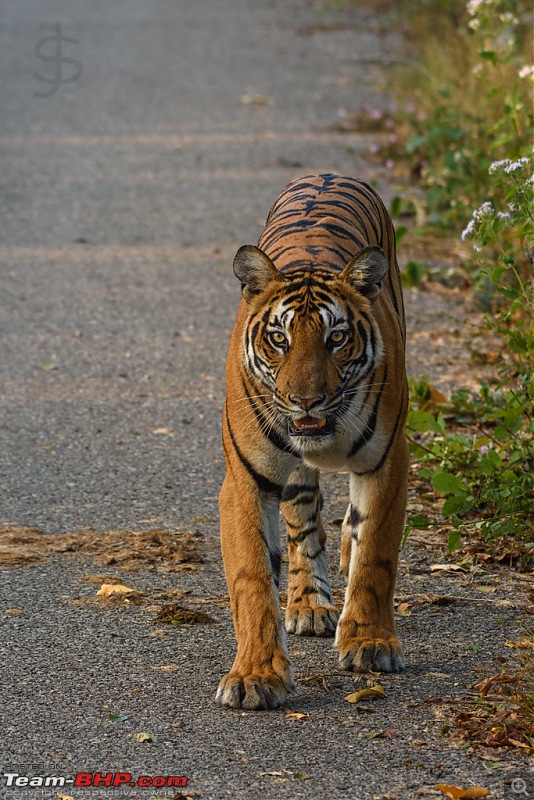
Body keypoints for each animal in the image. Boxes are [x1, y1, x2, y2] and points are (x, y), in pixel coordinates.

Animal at [218, 172, 410, 708]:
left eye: (336, 338)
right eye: (279, 339)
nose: (306, 400)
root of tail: (327, 172)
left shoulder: (387, 463)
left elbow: (376, 557)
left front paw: (370, 643)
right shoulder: (246, 481)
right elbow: (253, 578)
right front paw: (256, 676)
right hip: (292, 476)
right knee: (302, 525)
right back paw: (309, 605)